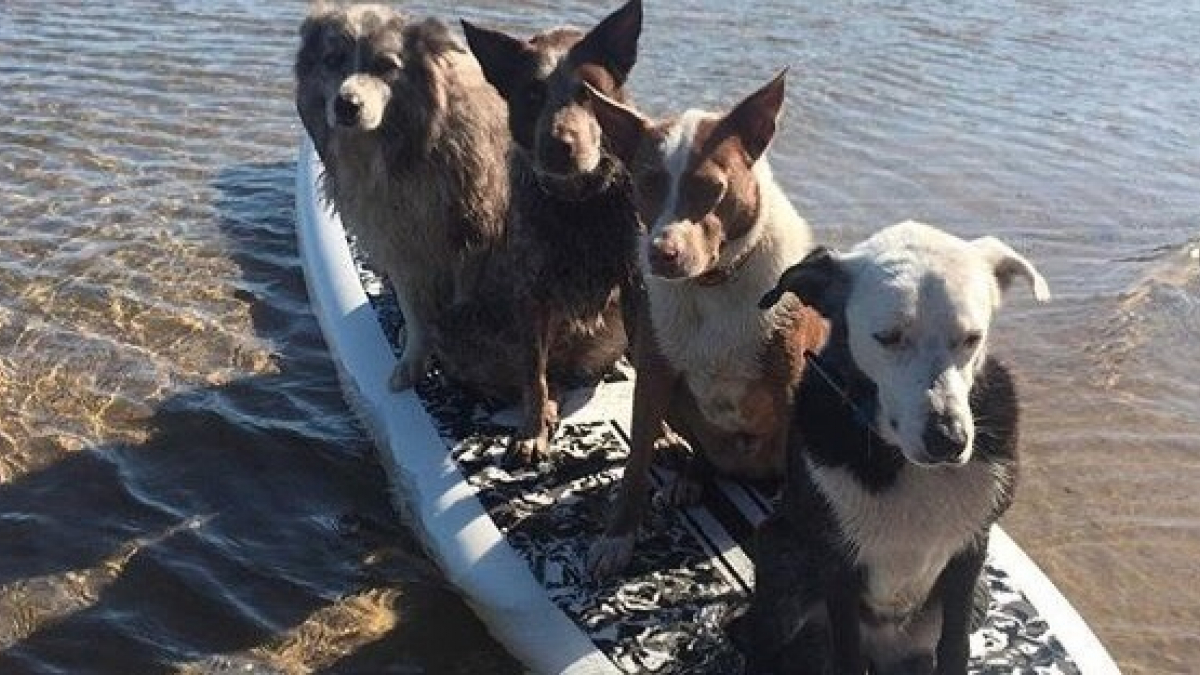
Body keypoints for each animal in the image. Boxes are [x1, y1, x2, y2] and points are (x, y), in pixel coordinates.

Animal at [298, 5, 511, 391]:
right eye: (332, 60)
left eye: (385, 65)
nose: (346, 105)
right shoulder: (397, 241)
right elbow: (414, 312)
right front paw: (415, 359)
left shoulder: (472, 232)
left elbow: (461, 300)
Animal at [580, 74, 825, 578]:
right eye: (647, 183)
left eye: (711, 187)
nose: (661, 254)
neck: (714, 285)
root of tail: (744, 471)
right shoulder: (654, 371)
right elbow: (635, 462)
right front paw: (618, 537)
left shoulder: (792, 383)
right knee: (699, 453)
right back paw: (690, 477)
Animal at [729, 219, 1051, 667]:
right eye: (888, 337)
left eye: (972, 338)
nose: (947, 440)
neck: (900, 460)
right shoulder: (837, 563)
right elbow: (847, 651)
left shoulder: (970, 556)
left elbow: (955, 646)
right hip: (783, 563)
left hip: (978, 596)